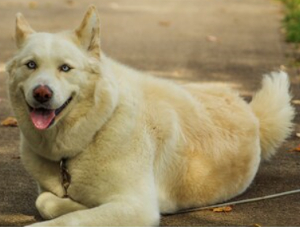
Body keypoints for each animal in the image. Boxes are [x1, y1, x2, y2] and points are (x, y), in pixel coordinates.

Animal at [5, 5, 294, 227]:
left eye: (65, 68)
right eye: (31, 65)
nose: (42, 93)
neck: (98, 126)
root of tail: (251, 111)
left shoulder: (138, 208)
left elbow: (68, 219)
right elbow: (44, 201)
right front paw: (78, 203)